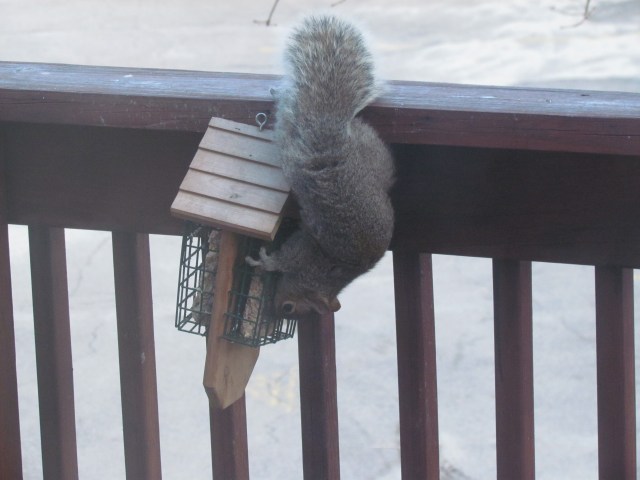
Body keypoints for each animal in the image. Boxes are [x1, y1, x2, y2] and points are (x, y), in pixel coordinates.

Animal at [246, 15, 395, 319]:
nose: (276, 310)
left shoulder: (304, 254)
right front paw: (266, 262)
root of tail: (331, 134)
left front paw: (266, 262)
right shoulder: (306, 254)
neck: (323, 278)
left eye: (289, 308)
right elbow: (285, 259)